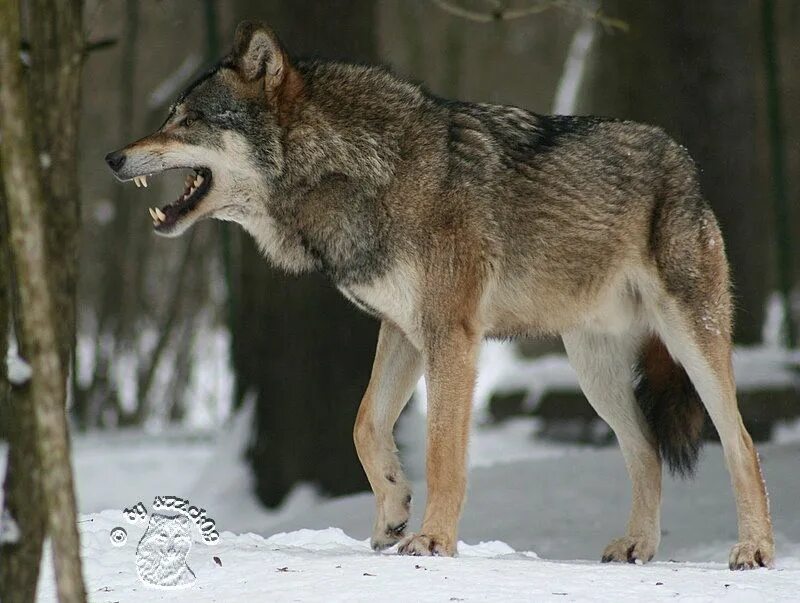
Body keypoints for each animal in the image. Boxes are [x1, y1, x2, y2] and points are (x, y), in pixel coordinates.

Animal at [106, 21, 776, 572]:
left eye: (187, 121)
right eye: (170, 115)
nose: (113, 156)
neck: (357, 170)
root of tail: (685, 161)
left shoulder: (451, 335)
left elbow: (443, 452)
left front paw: (431, 541)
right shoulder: (403, 329)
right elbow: (365, 424)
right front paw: (392, 513)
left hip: (691, 342)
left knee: (740, 442)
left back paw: (754, 550)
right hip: (594, 372)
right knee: (646, 451)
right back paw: (639, 545)